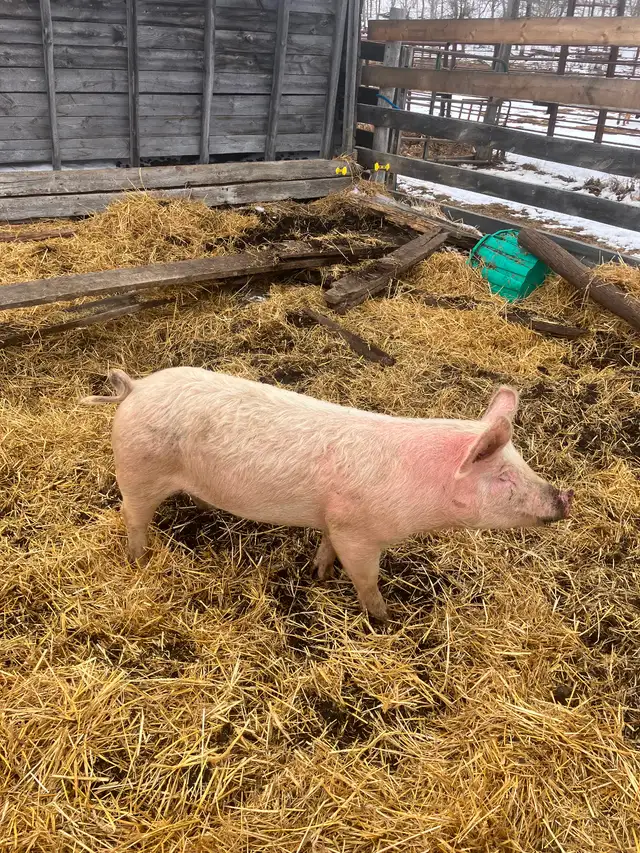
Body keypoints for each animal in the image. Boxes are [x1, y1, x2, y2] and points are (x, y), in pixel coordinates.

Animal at [82, 367, 573, 622]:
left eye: (524, 463)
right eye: (504, 478)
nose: (565, 497)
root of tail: (137, 388)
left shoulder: (335, 519)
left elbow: (325, 545)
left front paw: (318, 574)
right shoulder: (360, 533)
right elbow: (367, 580)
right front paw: (385, 620)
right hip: (138, 470)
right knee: (131, 513)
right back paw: (139, 559)